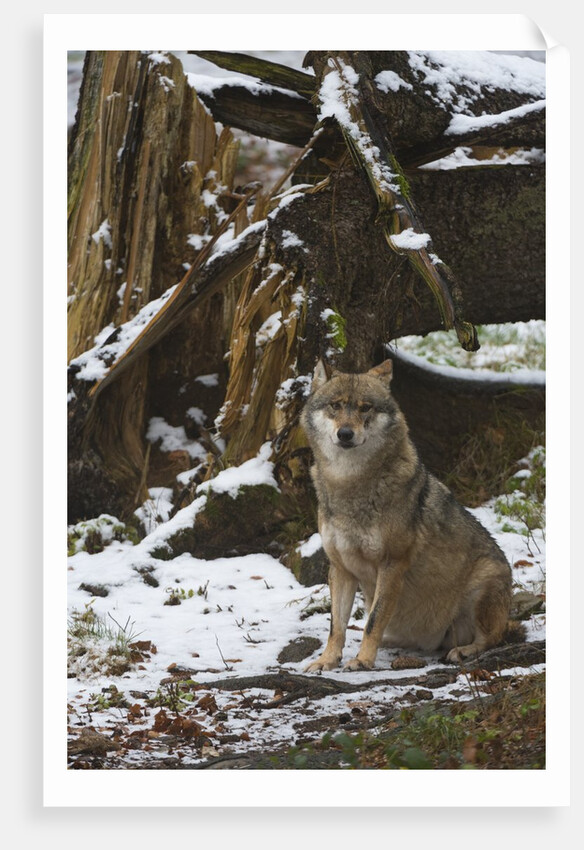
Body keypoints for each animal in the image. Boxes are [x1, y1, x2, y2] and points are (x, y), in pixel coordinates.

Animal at [300, 359, 512, 672]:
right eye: (335, 406)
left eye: (365, 408)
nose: (345, 434)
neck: (349, 483)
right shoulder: (340, 568)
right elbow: (336, 626)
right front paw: (327, 660)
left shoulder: (392, 564)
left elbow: (373, 621)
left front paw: (362, 660)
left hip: (483, 584)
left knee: (493, 638)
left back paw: (462, 651)